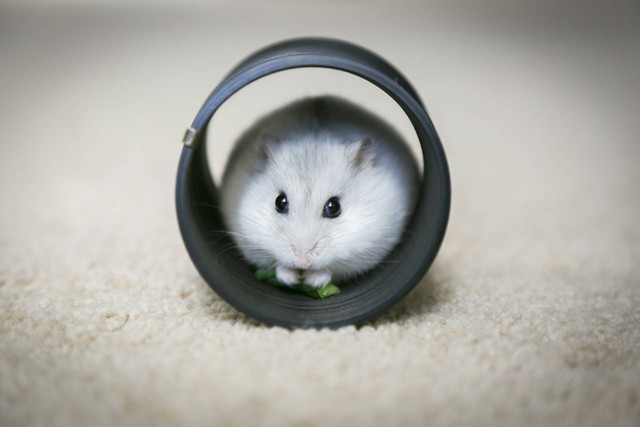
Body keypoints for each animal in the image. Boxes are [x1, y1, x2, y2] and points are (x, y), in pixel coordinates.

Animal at [220, 96, 419, 288]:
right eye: (279, 202)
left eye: (334, 207)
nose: (302, 262)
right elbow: (277, 265)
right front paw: (291, 279)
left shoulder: (368, 248)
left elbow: (332, 269)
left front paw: (312, 281)